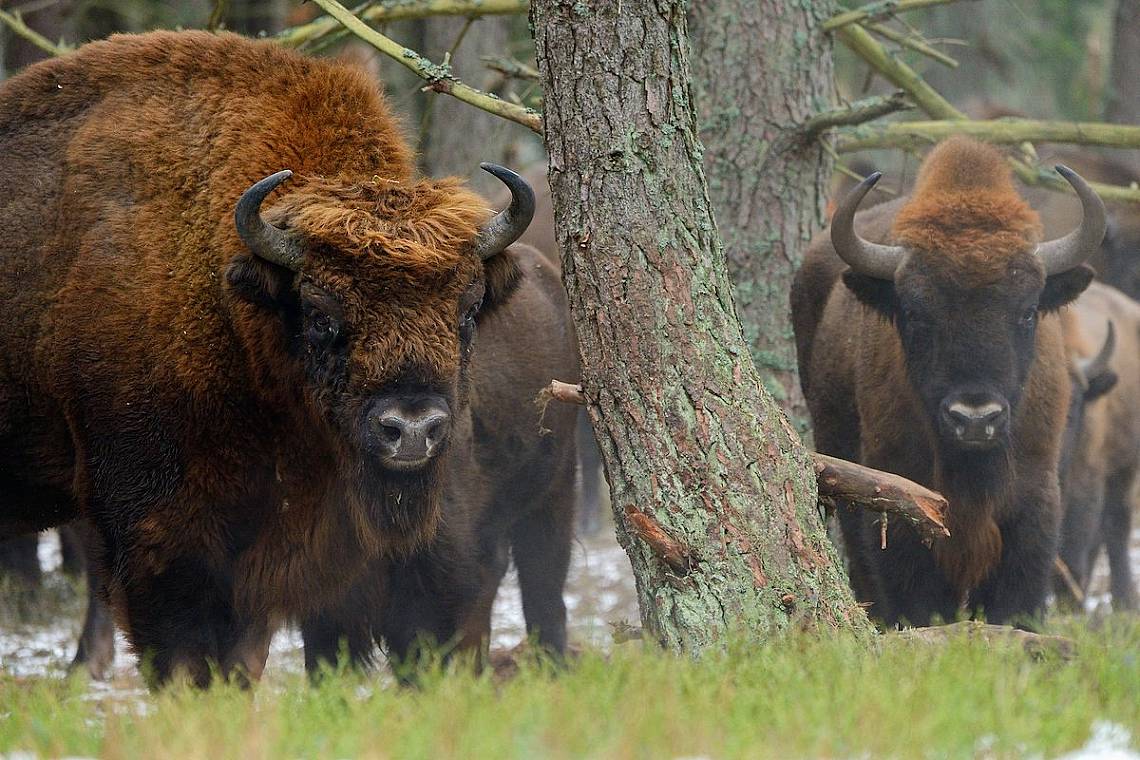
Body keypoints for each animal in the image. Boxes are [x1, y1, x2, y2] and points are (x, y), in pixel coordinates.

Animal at [0, 29, 533, 688]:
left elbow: (242, 657)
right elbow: (182, 654)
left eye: (467, 310)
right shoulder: (156, 532)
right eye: (321, 314)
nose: (412, 430)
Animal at [793, 138, 1103, 628]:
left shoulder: (1034, 504)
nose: (974, 418)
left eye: (1027, 311)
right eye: (915, 313)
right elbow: (916, 598)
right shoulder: (898, 504)